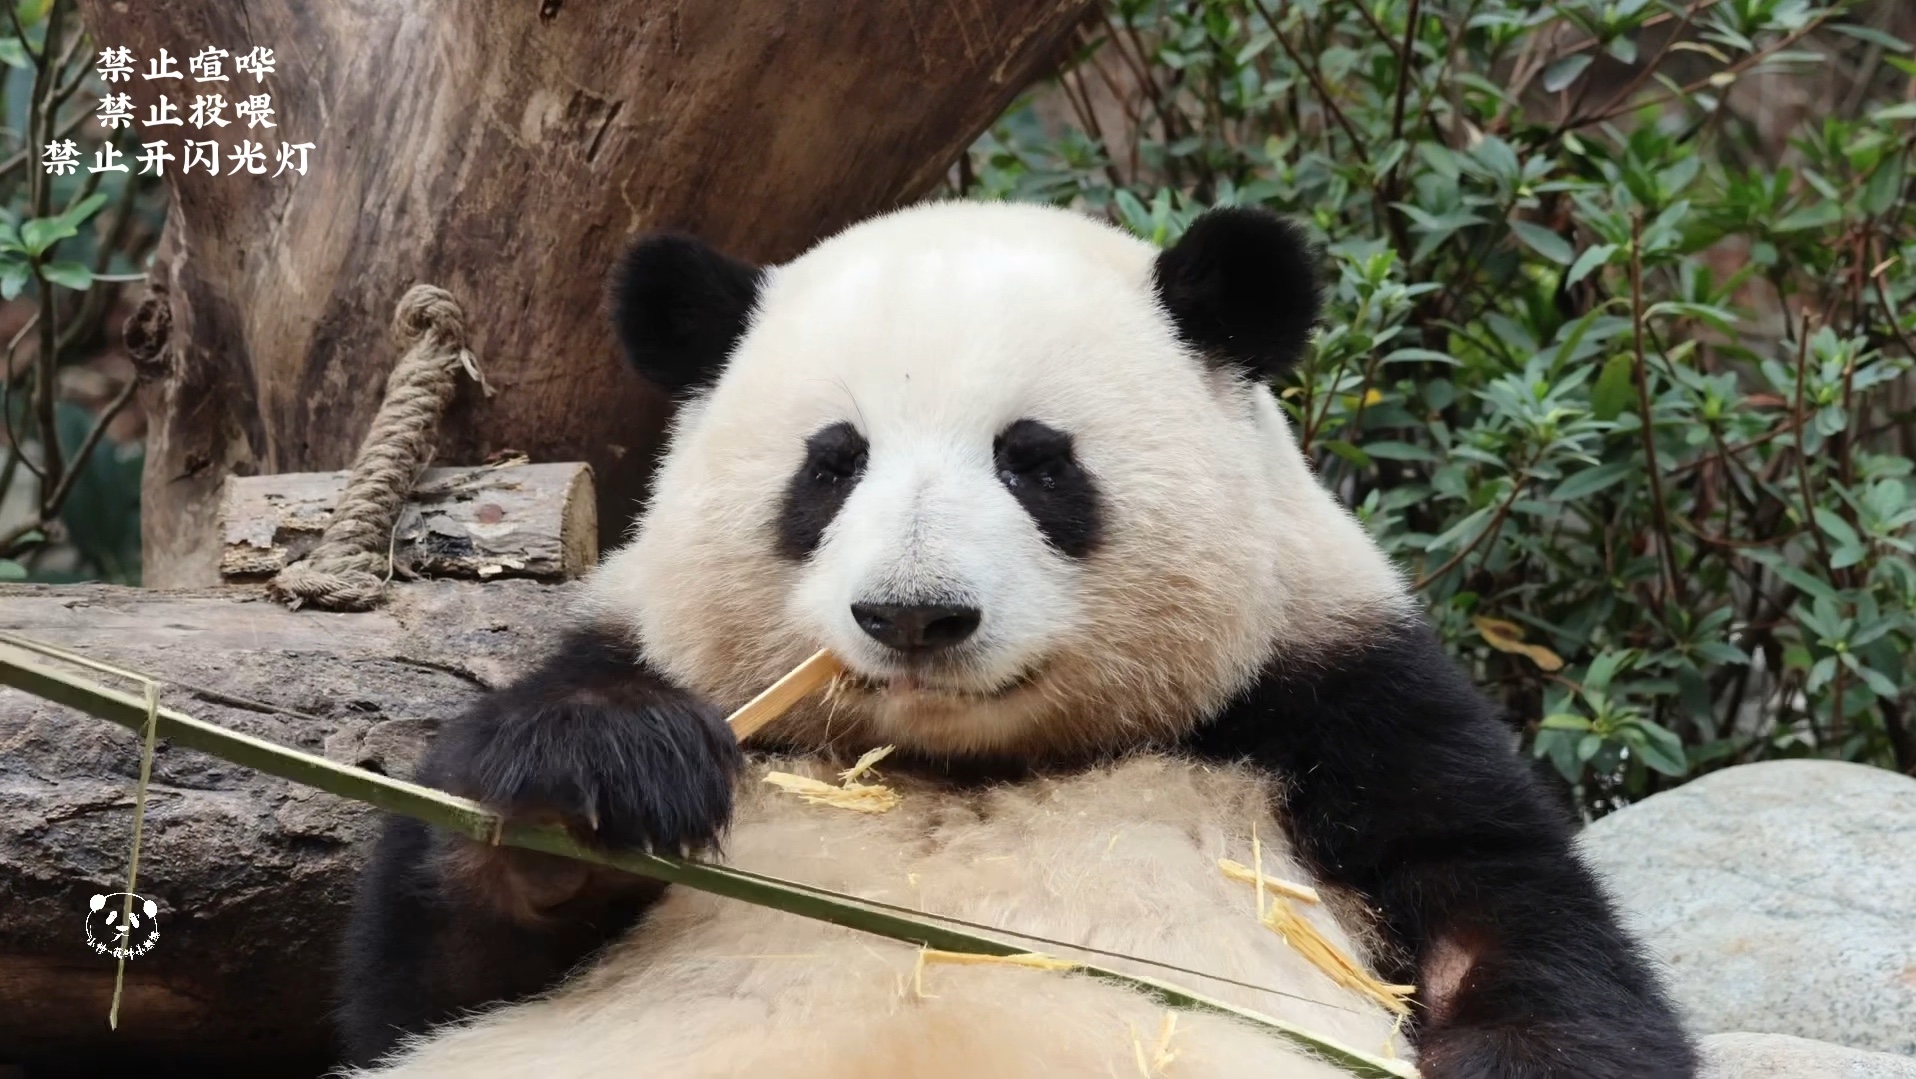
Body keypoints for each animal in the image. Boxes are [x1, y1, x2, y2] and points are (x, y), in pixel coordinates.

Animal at [337, 198, 1701, 1073]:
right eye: (831, 463)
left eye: (1035, 461)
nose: (914, 611)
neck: (955, 764)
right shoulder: (636, 656)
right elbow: (426, 974)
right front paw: (595, 784)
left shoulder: (1340, 706)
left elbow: (1512, 928)